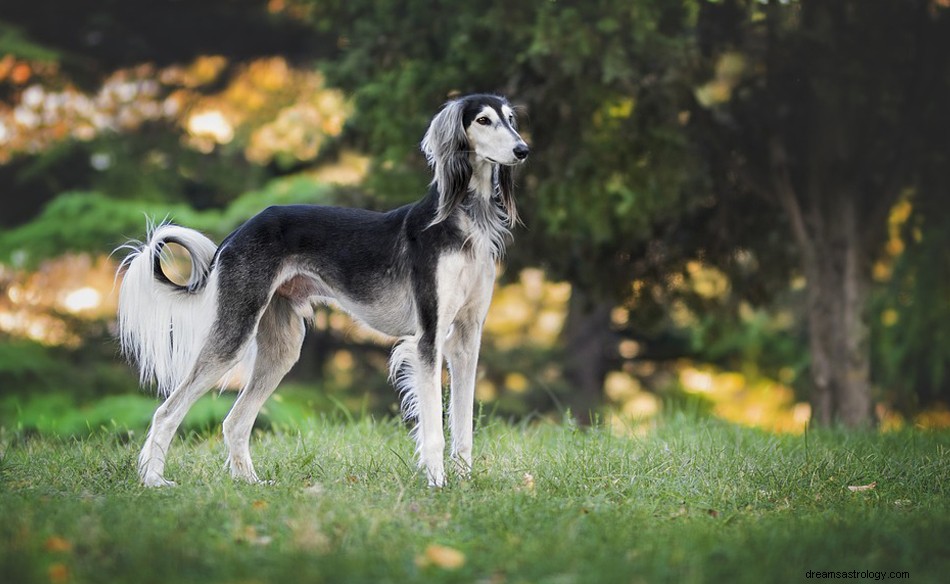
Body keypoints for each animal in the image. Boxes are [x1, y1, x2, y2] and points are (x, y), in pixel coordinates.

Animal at [117, 94, 528, 488]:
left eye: (510, 119)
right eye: (483, 120)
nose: (522, 149)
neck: (463, 220)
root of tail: (237, 233)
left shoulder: (466, 339)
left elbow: (463, 425)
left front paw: (464, 482)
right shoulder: (428, 338)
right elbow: (435, 430)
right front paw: (437, 483)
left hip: (282, 347)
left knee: (234, 421)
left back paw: (250, 482)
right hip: (234, 333)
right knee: (167, 411)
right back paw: (154, 480)